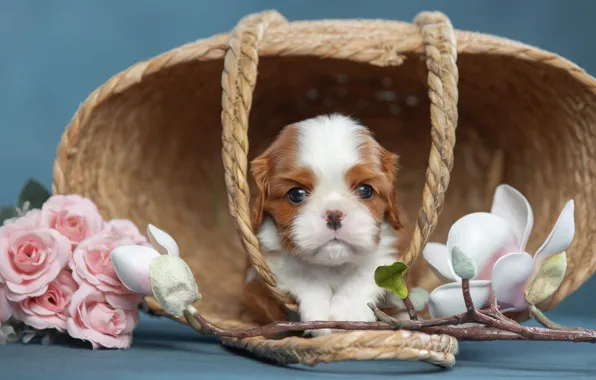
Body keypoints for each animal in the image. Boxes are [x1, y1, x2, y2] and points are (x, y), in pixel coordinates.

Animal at [247, 113, 400, 336]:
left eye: (365, 190)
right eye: (296, 194)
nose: (334, 215)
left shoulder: (386, 253)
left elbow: (367, 272)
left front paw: (348, 312)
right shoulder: (270, 261)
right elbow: (304, 274)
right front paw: (320, 318)